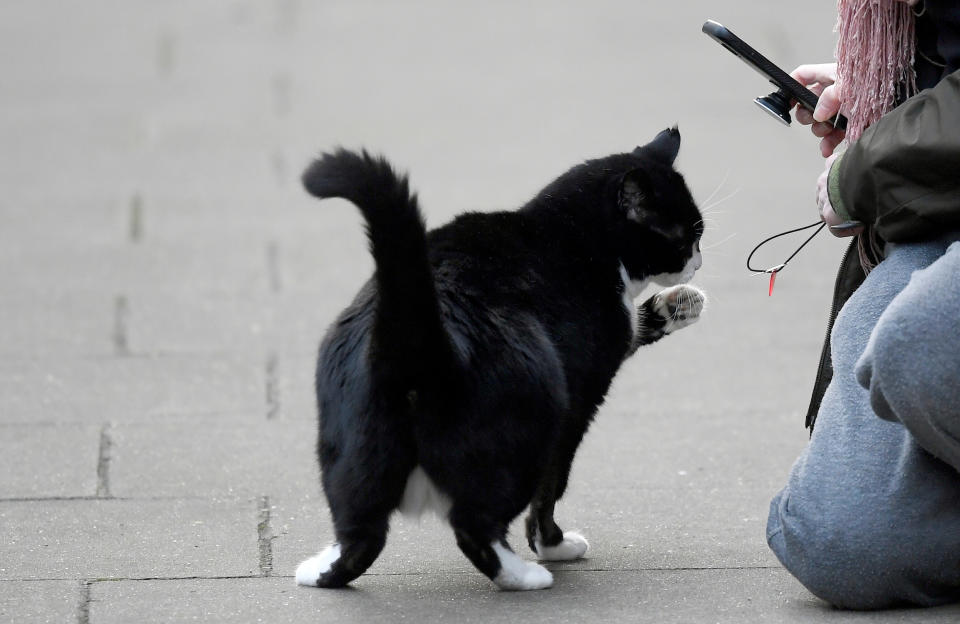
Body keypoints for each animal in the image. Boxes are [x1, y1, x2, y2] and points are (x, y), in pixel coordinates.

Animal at [296, 128, 708, 588]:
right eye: (686, 237)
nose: (698, 262)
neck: (575, 234)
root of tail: (415, 333)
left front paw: (680, 304)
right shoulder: (582, 396)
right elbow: (551, 486)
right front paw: (553, 544)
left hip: (351, 446)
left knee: (361, 533)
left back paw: (318, 570)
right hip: (528, 429)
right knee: (474, 525)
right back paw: (523, 575)